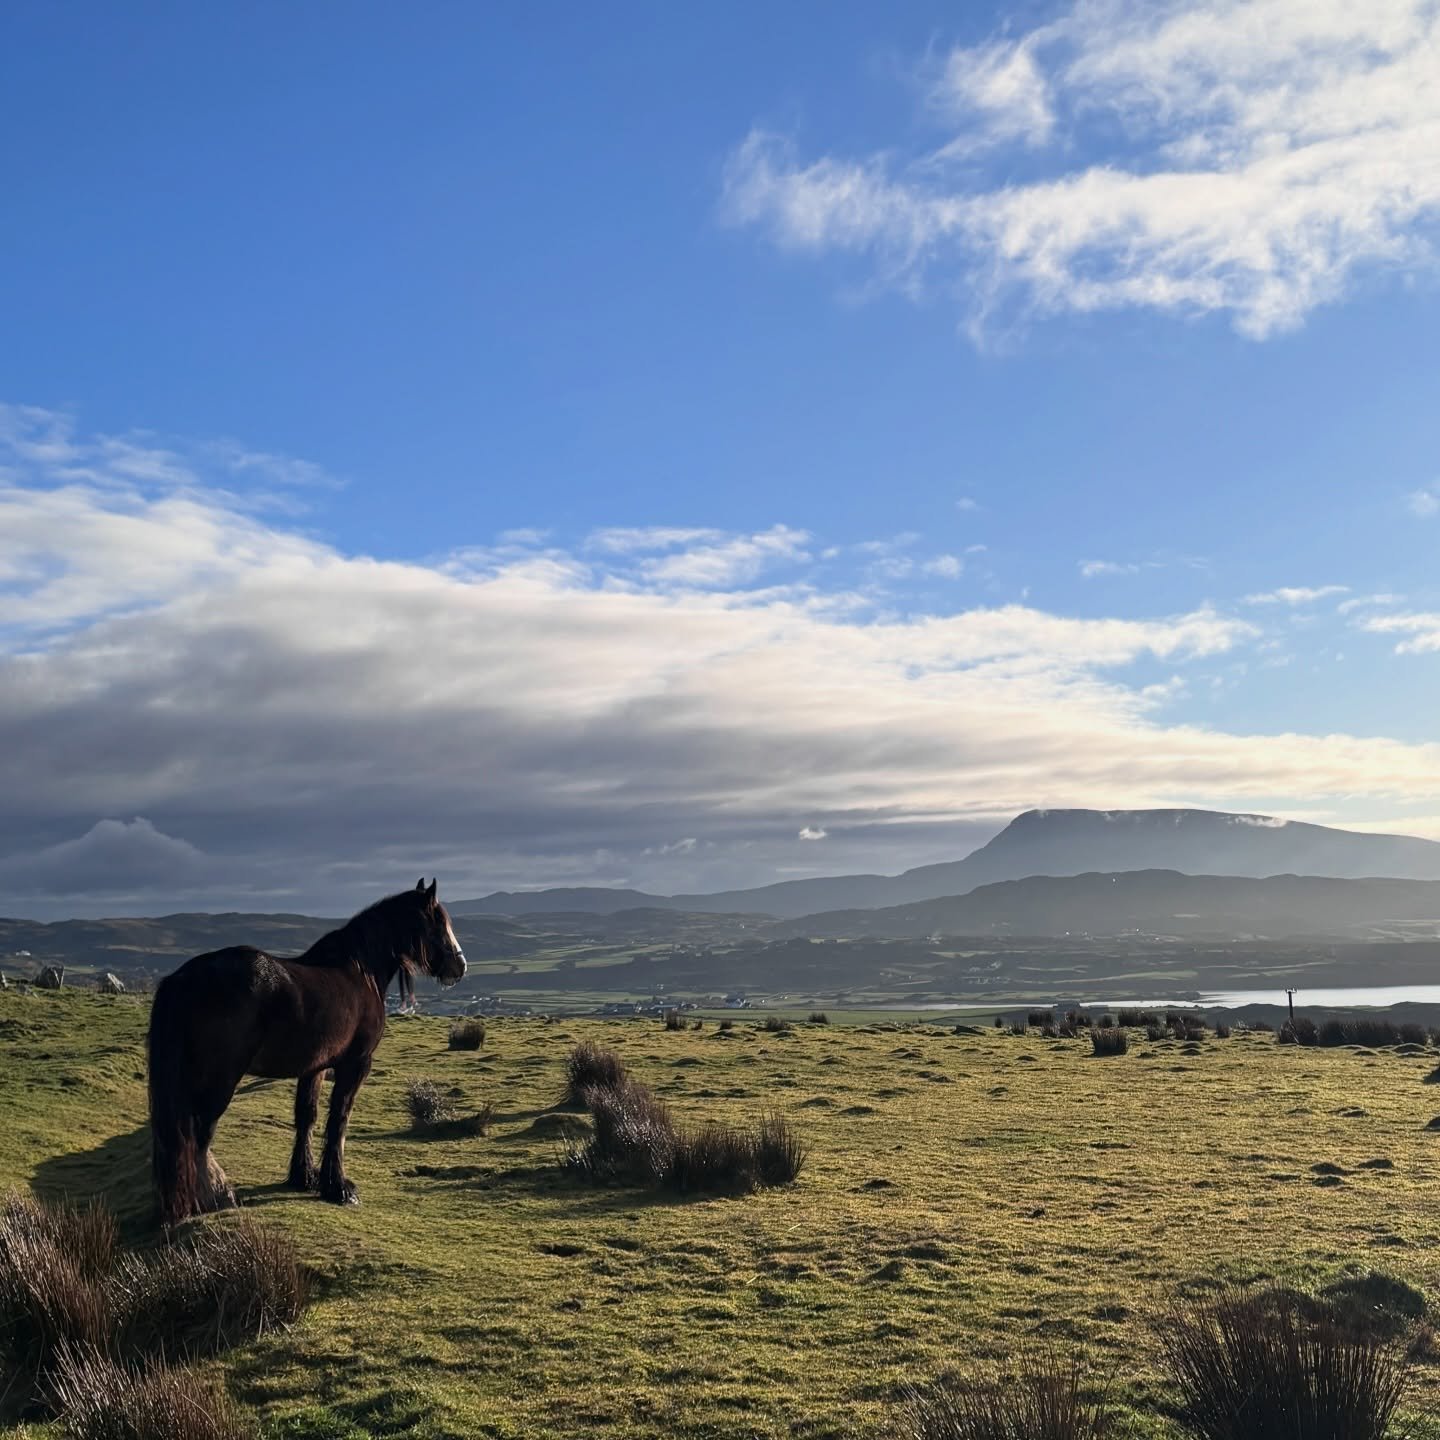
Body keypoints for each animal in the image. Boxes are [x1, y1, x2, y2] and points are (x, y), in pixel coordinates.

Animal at [147, 878, 467, 1226]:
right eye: (438, 922)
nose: (460, 965)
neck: (361, 971)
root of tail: (182, 980)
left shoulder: (315, 1067)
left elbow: (307, 1116)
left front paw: (305, 1177)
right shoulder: (356, 1064)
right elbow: (339, 1119)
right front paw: (339, 1187)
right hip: (219, 1080)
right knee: (199, 1136)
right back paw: (213, 1201)